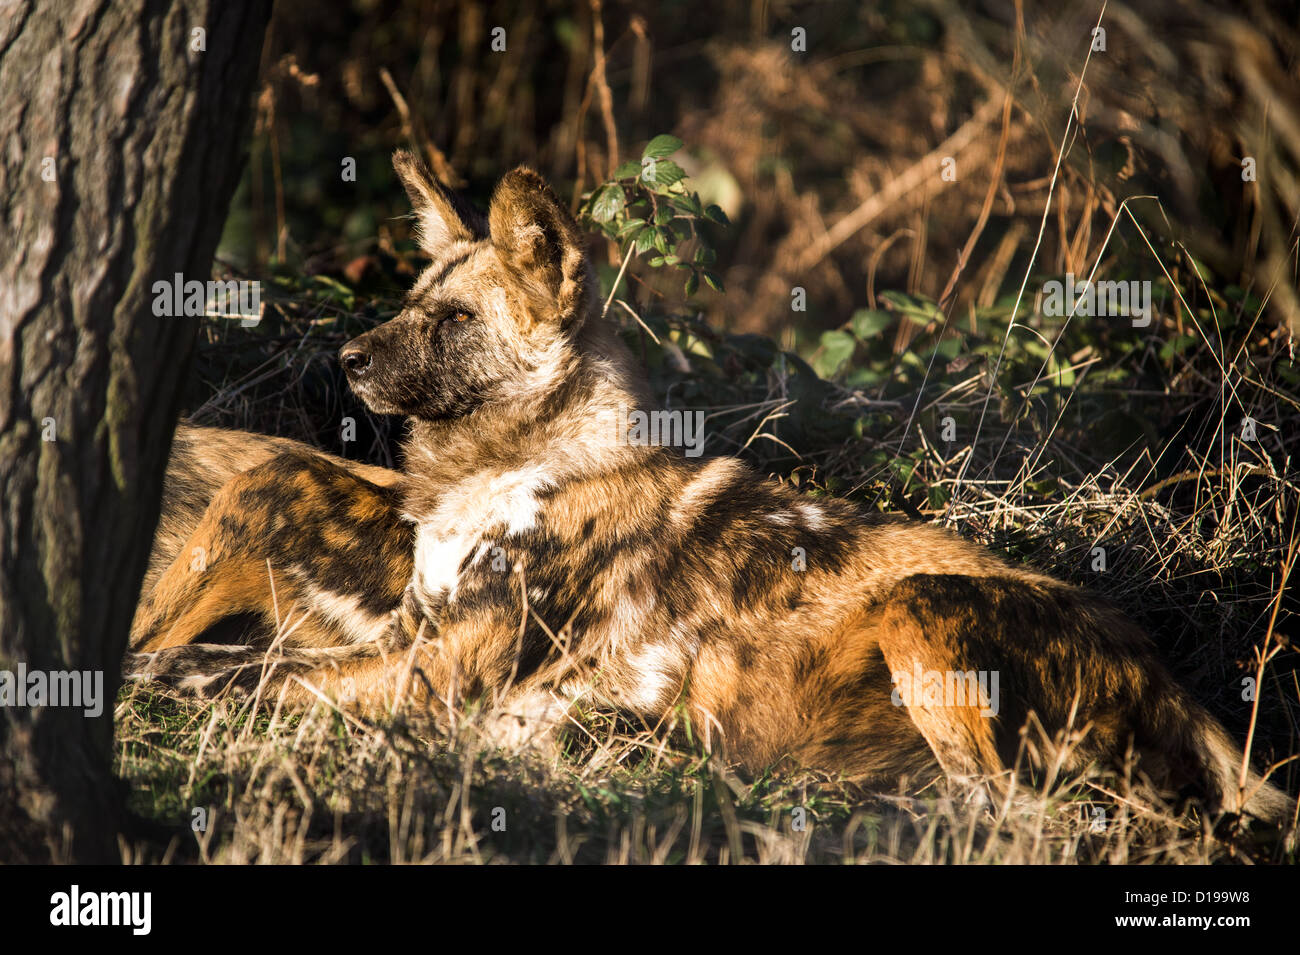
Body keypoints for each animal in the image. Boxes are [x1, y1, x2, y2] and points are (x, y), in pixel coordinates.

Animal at [131, 151, 1289, 821]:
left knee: (1026, 813)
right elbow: (233, 661)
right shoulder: (402, 637)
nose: (349, 359)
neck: (508, 467)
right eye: (412, 301)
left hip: (924, 615)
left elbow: (246, 680)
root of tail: (1163, 667)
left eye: (455, 321)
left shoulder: (430, 672)